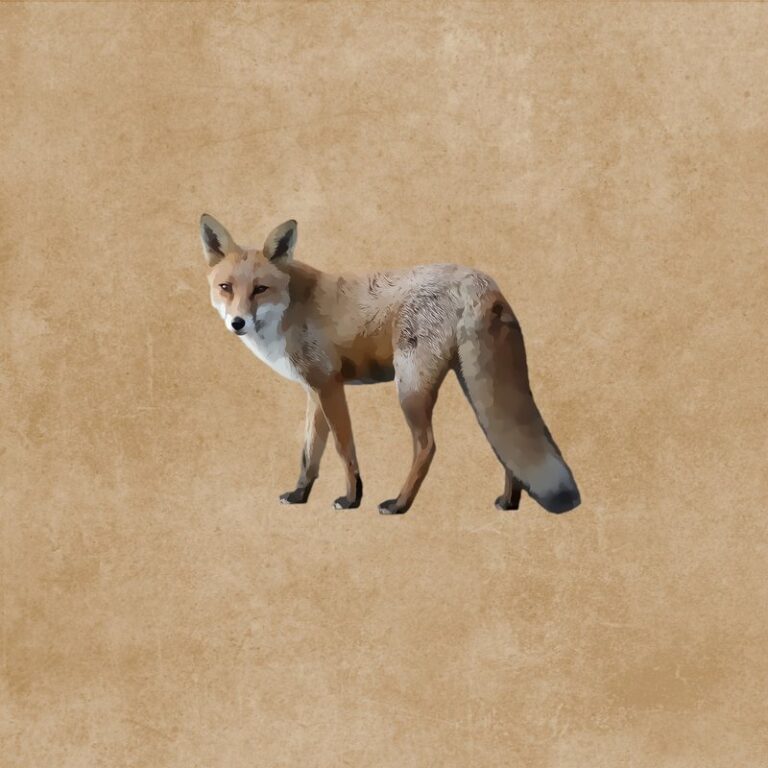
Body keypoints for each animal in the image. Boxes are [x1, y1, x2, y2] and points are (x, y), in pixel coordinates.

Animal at [199, 213, 580, 516]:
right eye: (226, 287)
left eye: (260, 289)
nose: (237, 323)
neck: (290, 308)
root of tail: (481, 280)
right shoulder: (314, 391)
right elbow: (310, 453)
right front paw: (299, 495)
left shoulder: (329, 385)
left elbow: (343, 448)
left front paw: (352, 499)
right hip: (472, 383)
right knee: (501, 442)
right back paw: (509, 501)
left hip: (410, 386)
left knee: (428, 446)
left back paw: (399, 504)